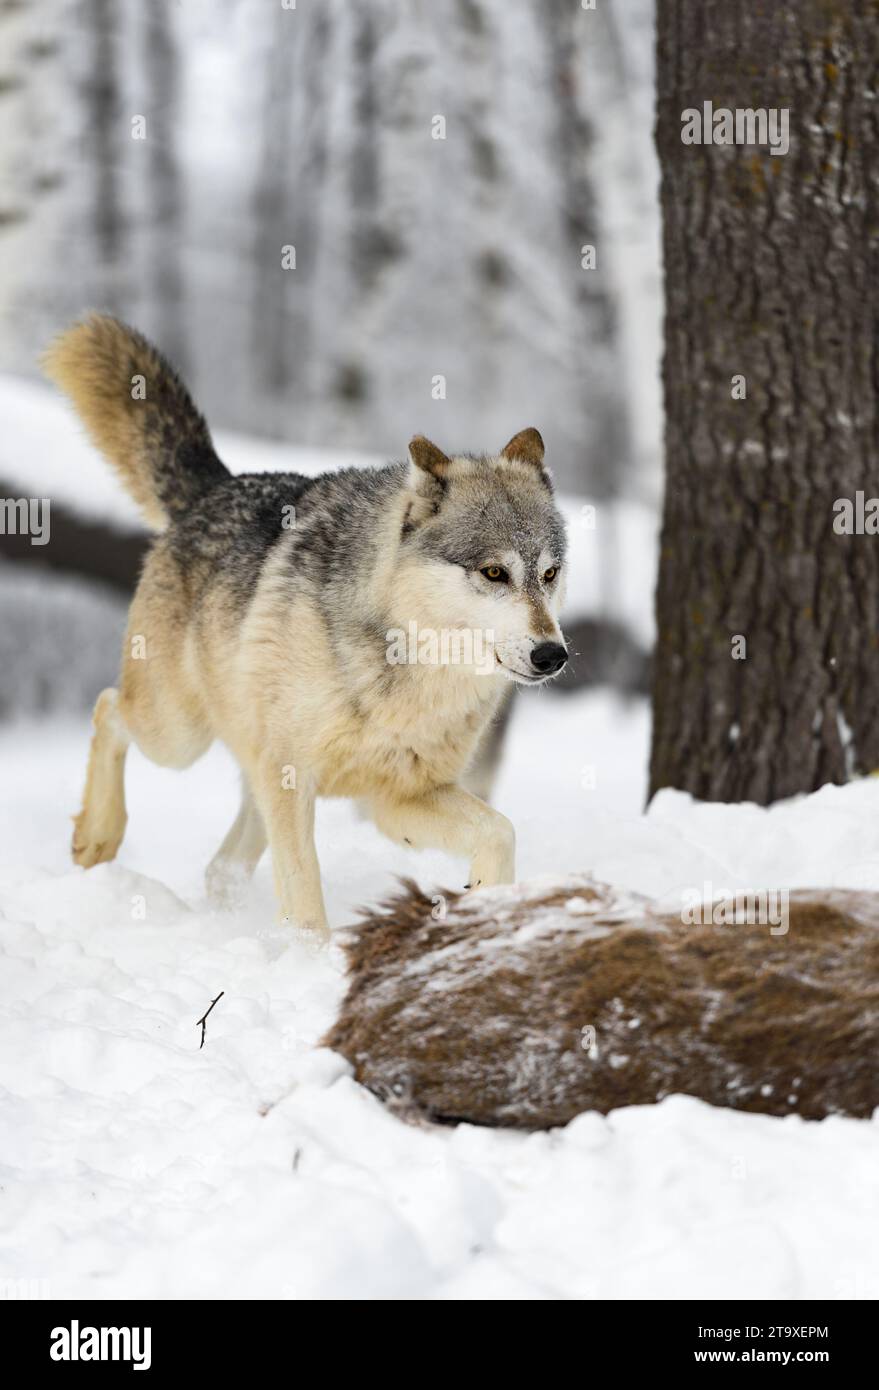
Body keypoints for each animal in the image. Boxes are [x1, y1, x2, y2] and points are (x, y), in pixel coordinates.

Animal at [44, 315, 569, 938]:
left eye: (550, 573)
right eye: (494, 572)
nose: (553, 656)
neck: (405, 665)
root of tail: (215, 487)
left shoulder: (399, 795)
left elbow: (500, 830)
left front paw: (489, 908)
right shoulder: (294, 778)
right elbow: (306, 895)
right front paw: (312, 957)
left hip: (244, 765)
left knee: (220, 867)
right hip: (178, 736)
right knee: (106, 708)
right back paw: (96, 839)